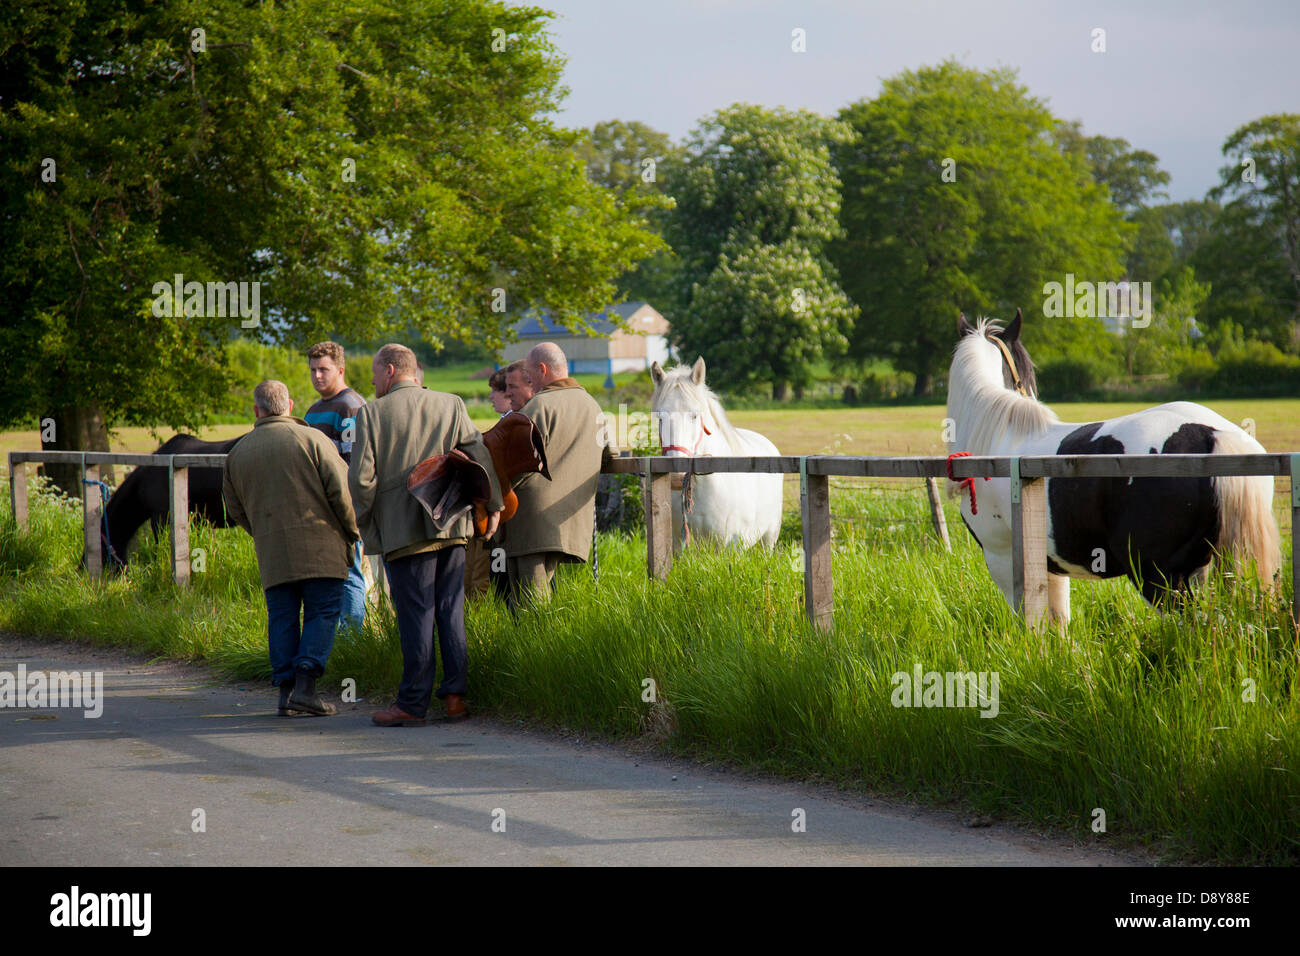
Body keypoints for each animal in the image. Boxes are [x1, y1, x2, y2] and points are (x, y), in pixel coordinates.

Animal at [650, 356, 780, 548]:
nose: (676, 476)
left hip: (769, 539)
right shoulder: (679, 545)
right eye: (660, 417)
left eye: (695, 415)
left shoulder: (734, 545)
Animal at [941, 312, 1284, 629]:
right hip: (1212, 569)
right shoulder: (1048, 566)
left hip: (1159, 577)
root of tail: (1210, 434)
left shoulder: (1004, 560)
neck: (999, 441)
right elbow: (1058, 622)